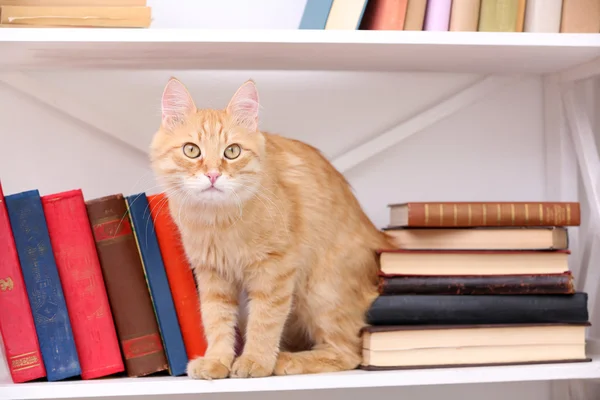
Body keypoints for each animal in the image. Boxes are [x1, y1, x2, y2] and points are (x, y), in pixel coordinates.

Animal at [150, 77, 394, 378]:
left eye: (232, 152)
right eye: (191, 150)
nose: (213, 175)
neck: (219, 222)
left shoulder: (275, 269)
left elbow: (264, 321)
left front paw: (255, 361)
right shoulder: (213, 274)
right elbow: (217, 322)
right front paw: (217, 361)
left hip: (321, 292)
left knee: (349, 353)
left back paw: (285, 361)